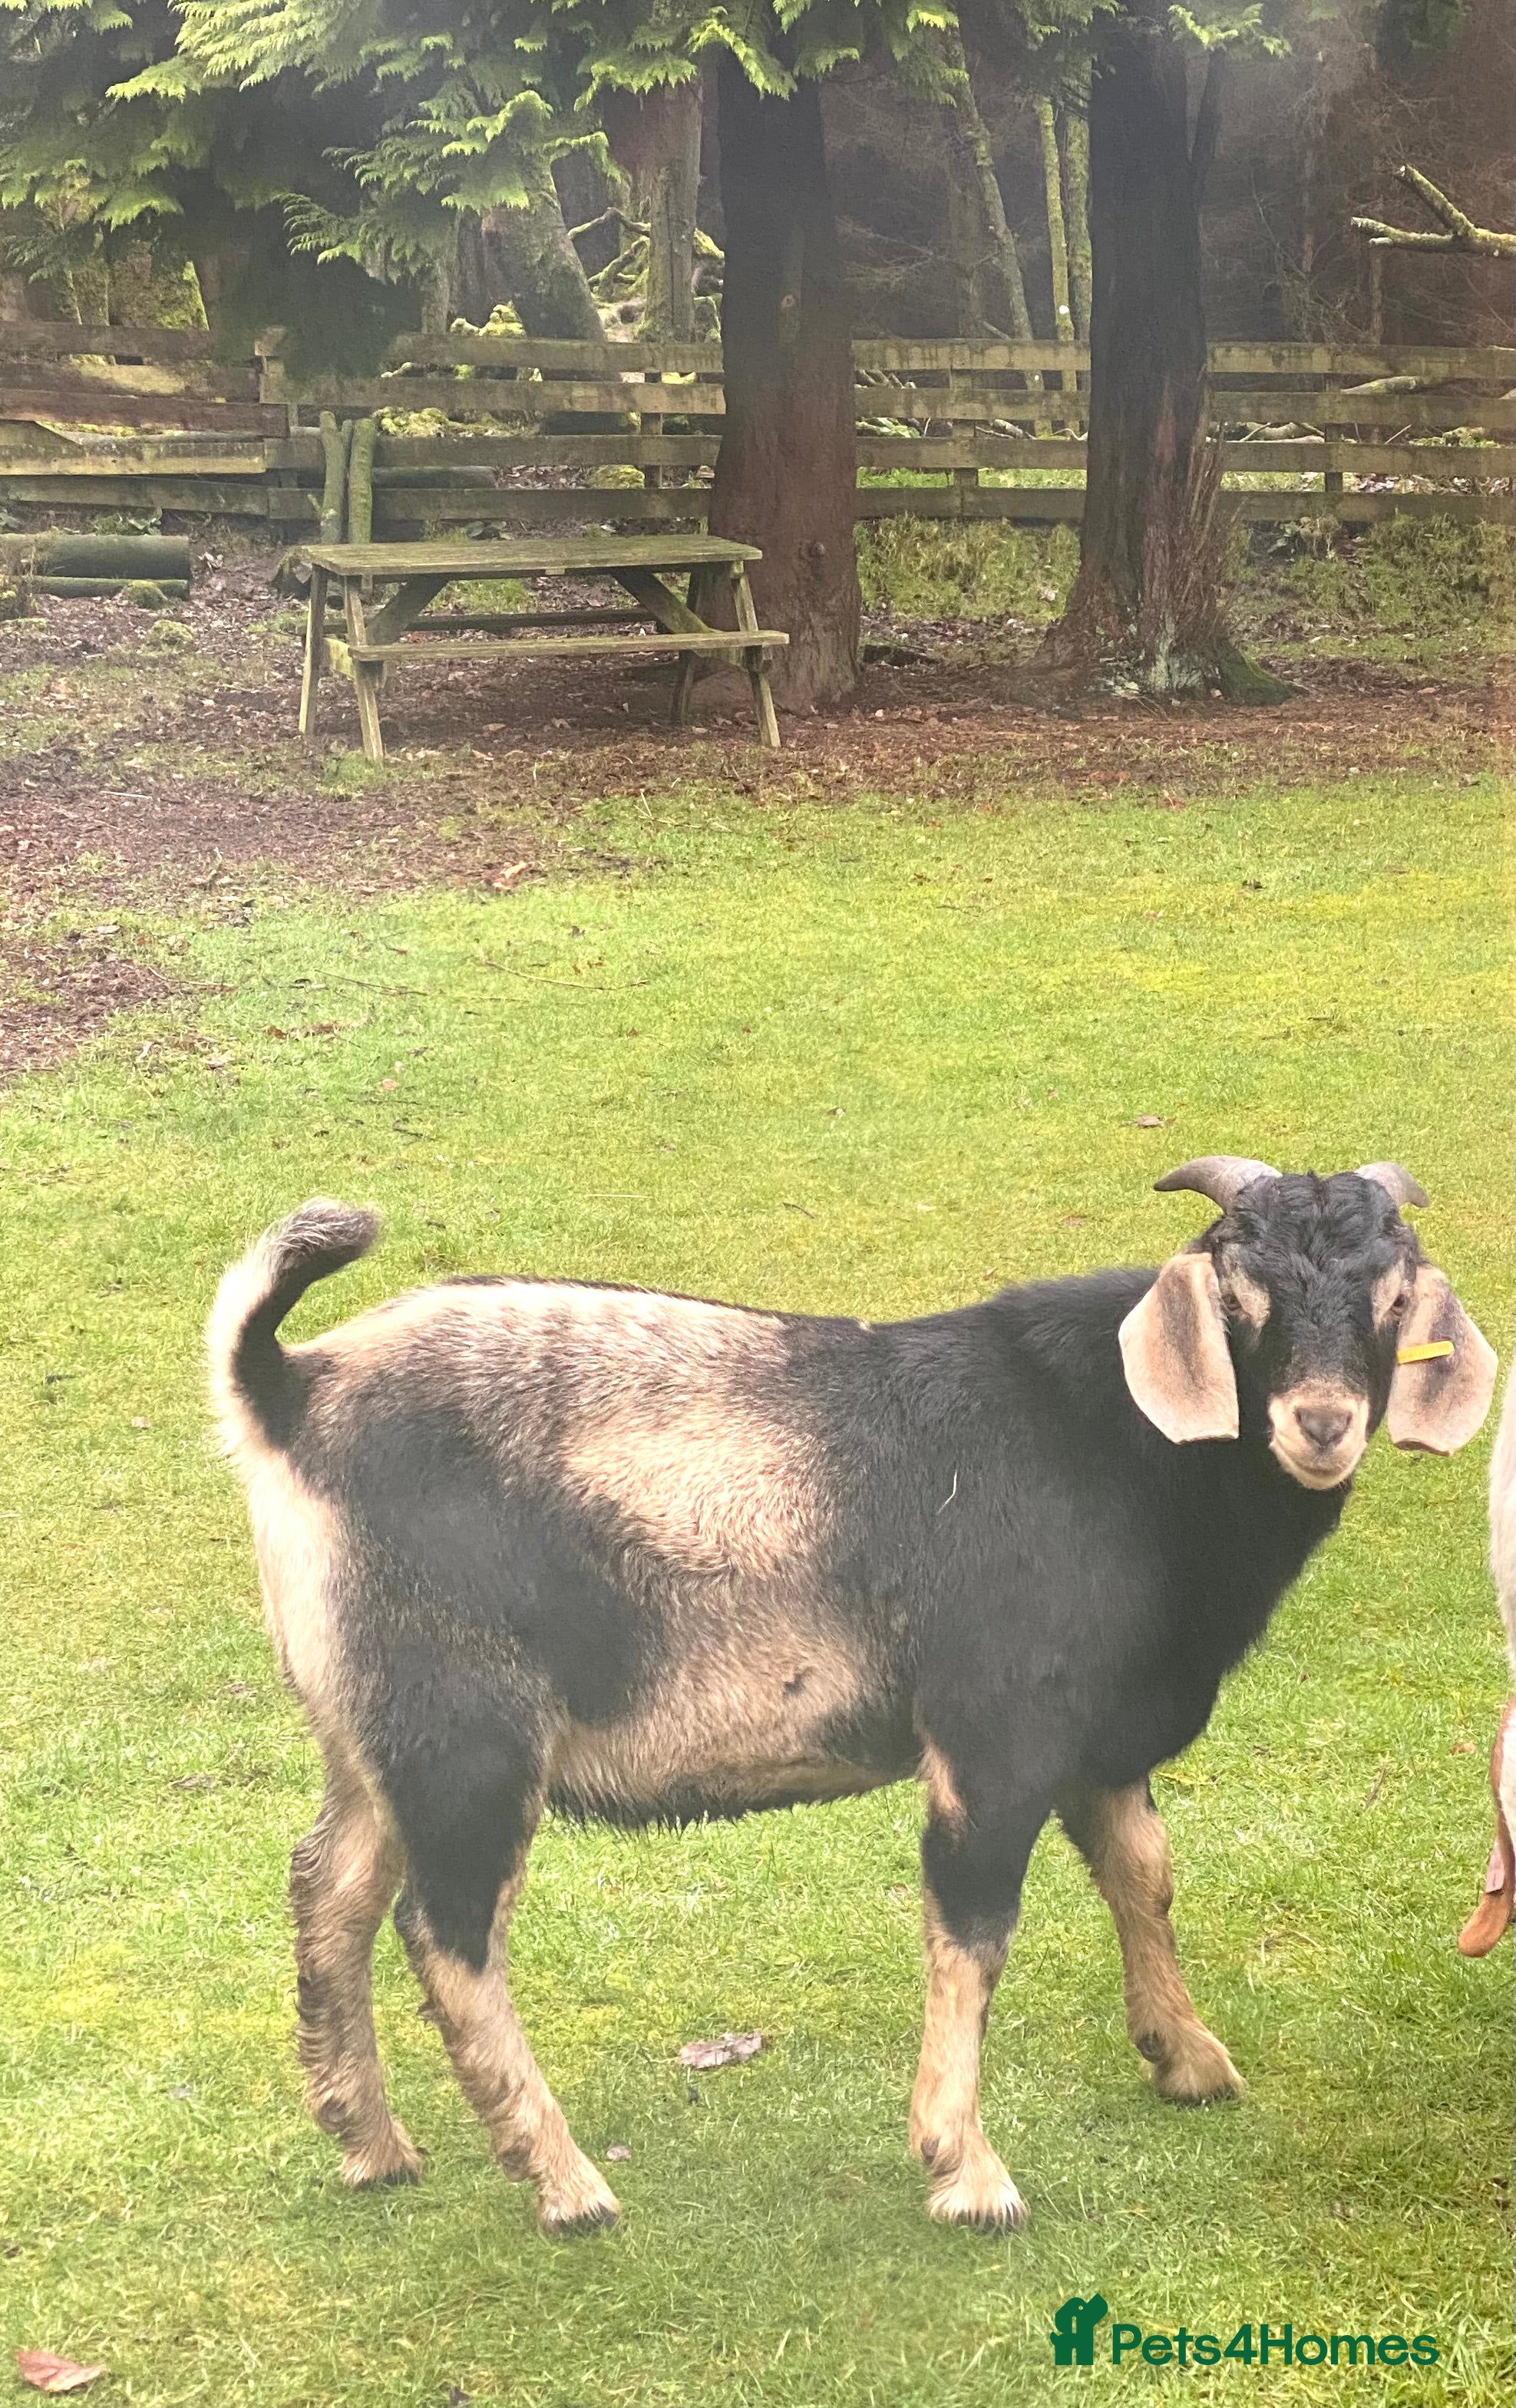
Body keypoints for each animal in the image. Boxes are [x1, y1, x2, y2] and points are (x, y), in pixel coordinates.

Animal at [208, 1157, 1495, 2237]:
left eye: (1390, 1298)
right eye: (1238, 1293)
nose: (1319, 1422)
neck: (1117, 1446)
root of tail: (287, 1387)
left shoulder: (1097, 1737)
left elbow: (1142, 1871)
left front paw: (1185, 2058)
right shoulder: (994, 1734)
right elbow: (973, 1925)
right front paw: (964, 2167)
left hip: (368, 1728)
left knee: (332, 1885)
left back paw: (372, 2143)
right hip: (462, 1735)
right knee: (446, 1930)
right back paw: (564, 2182)